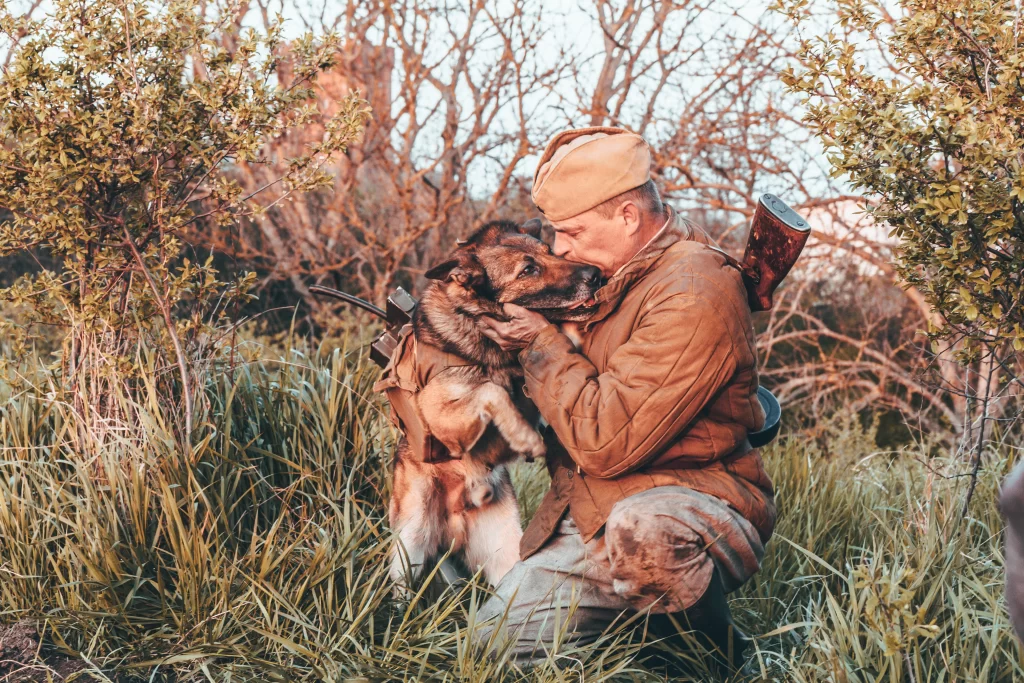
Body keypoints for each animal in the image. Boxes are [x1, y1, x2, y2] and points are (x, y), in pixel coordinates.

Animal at [389, 219, 598, 589]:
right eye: (528, 270)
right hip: (408, 548)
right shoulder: (438, 414)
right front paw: (524, 437)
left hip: (505, 554)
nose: (597, 274)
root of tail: (454, 522)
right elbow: (491, 390)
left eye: (551, 252)